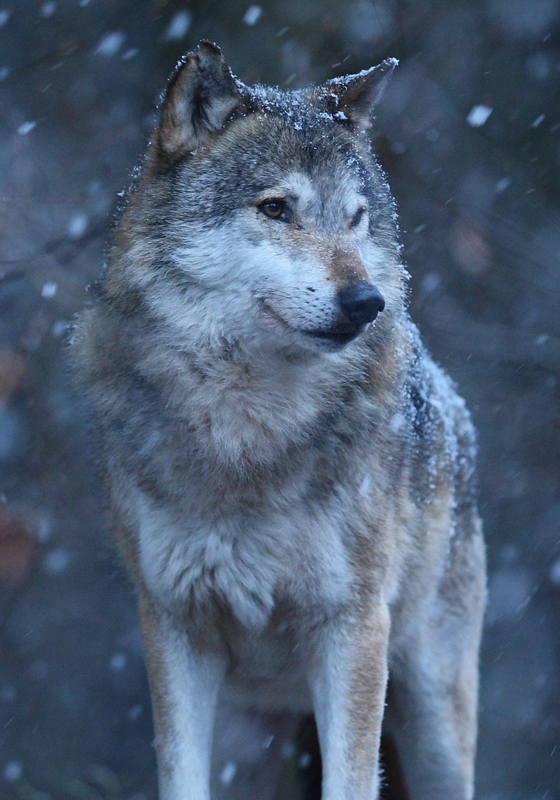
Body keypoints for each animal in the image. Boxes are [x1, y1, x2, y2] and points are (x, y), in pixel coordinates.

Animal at [73, 42, 486, 800]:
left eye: (355, 218)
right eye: (276, 208)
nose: (367, 302)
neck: (248, 435)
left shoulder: (352, 627)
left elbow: (350, 783)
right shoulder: (173, 626)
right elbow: (178, 777)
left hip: (434, 725)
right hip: (248, 742)